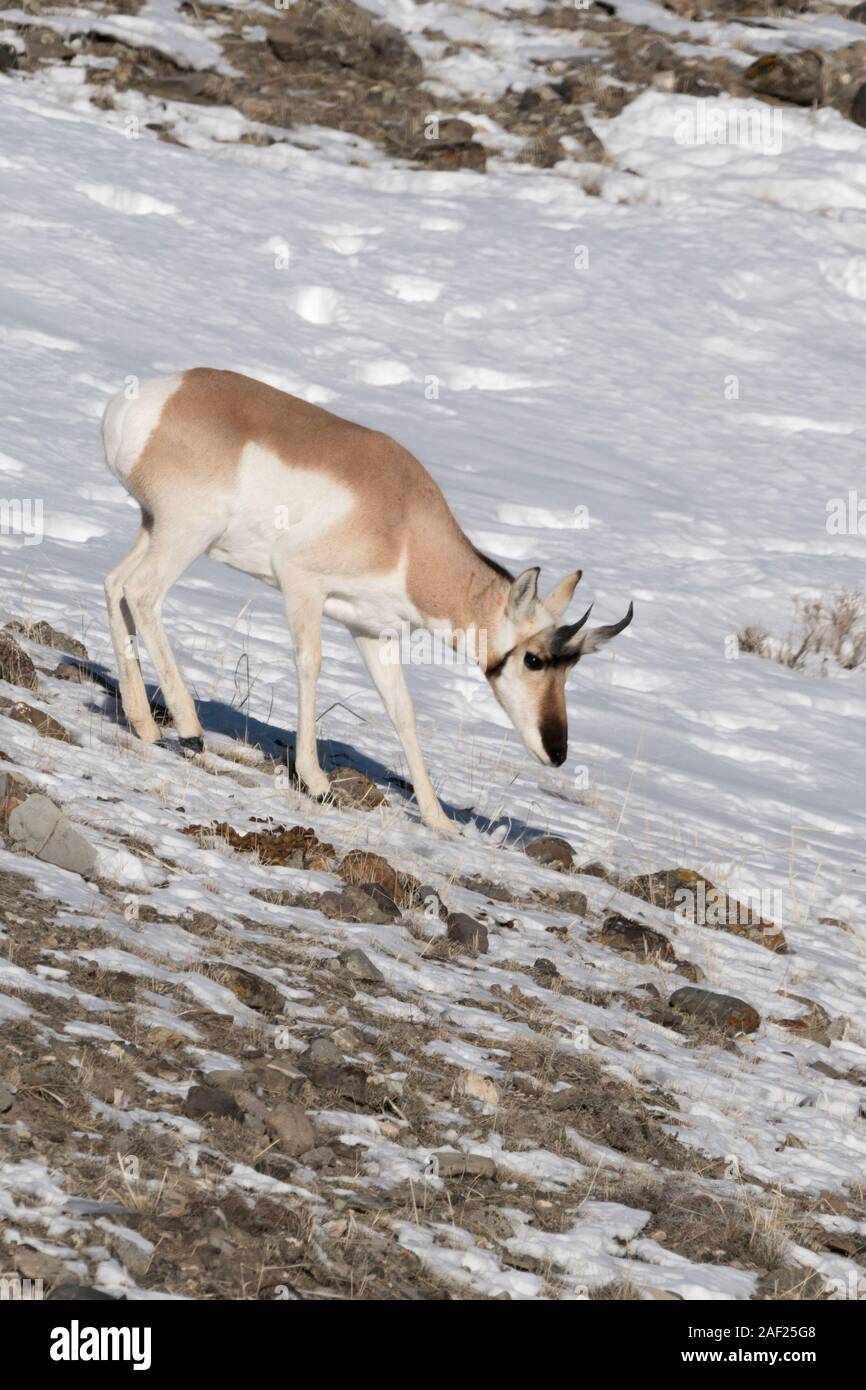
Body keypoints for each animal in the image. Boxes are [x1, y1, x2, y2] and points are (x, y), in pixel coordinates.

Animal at [101, 364, 633, 828]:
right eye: (535, 660)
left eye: (572, 667)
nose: (558, 752)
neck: (405, 525)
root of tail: (148, 400)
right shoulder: (301, 585)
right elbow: (310, 666)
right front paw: (316, 780)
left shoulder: (375, 635)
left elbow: (403, 712)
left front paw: (440, 822)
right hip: (185, 536)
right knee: (142, 594)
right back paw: (189, 728)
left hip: (154, 528)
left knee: (115, 585)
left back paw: (145, 724)